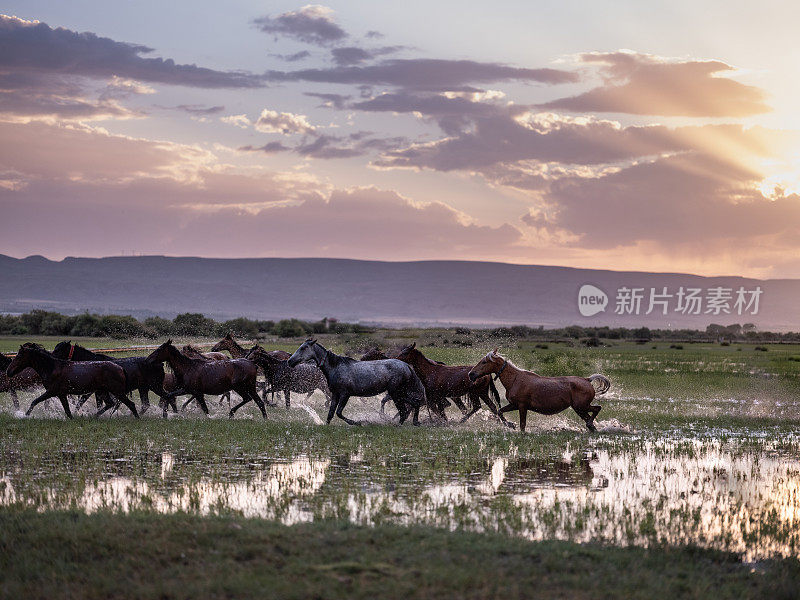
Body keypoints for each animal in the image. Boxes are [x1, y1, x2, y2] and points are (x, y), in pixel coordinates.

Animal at [5, 344, 139, 420]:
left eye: (19, 356)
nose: (8, 371)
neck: (52, 367)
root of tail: (120, 368)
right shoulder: (61, 394)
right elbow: (68, 410)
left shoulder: (52, 392)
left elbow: (35, 401)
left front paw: (24, 415)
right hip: (103, 391)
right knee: (110, 404)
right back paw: (94, 416)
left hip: (117, 392)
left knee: (130, 404)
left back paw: (137, 418)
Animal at [286, 338, 424, 426]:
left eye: (304, 348)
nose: (290, 361)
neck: (335, 367)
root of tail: (407, 366)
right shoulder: (335, 394)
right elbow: (331, 413)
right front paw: (325, 425)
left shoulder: (345, 394)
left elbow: (339, 412)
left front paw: (357, 423)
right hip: (399, 392)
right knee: (414, 404)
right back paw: (414, 422)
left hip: (395, 393)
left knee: (404, 410)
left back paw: (397, 424)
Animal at [466, 350, 608, 434]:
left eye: (484, 362)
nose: (471, 374)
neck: (515, 379)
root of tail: (587, 379)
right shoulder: (514, 405)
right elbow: (500, 411)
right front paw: (510, 425)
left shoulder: (522, 406)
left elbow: (523, 424)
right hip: (579, 409)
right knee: (591, 417)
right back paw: (592, 428)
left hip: (581, 406)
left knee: (597, 409)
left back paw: (590, 425)